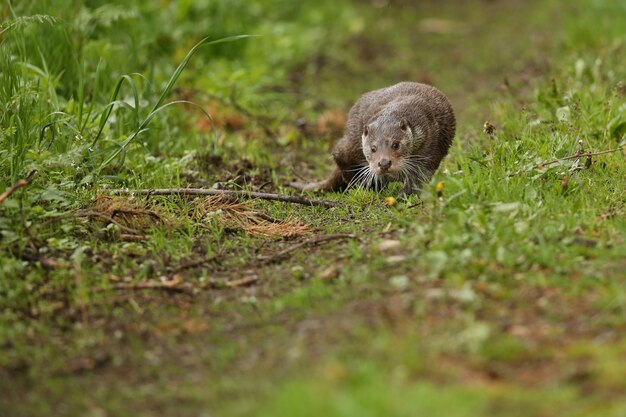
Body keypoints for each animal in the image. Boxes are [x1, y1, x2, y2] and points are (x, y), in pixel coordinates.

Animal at [288, 83, 454, 198]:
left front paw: (404, 196)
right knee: (340, 156)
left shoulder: (430, 147)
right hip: (352, 142)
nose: (384, 163)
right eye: (373, 148)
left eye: (396, 145)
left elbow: (420, 176)